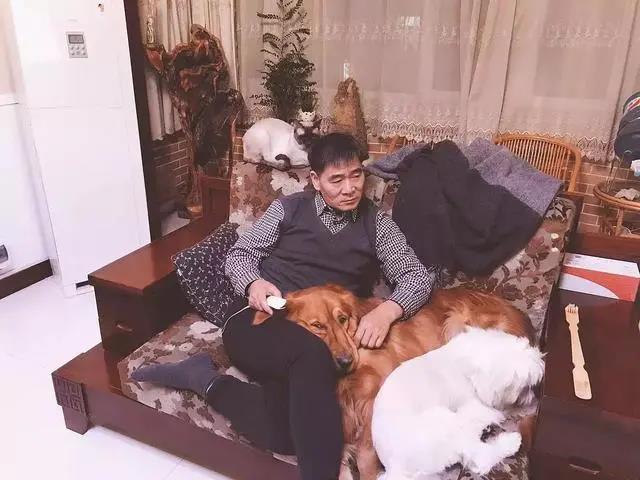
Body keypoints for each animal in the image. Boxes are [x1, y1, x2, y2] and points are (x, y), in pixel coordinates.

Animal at [371, 327, 545, 480]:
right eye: (525, 388)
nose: (532, 398)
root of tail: (395, 468)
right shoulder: (473, 403)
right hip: (443, 423)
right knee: (480, 458)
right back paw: (511, 442)